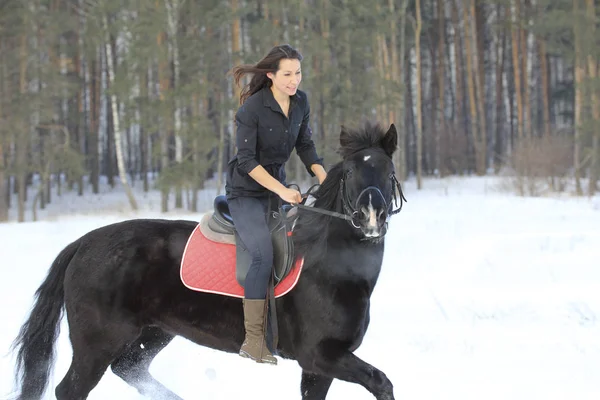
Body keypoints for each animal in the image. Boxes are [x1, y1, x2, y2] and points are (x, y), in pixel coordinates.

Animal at [11, 122, 408, 400]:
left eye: (389, 172)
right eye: (352, 172)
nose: (370, 217)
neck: (329, 268)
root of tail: (83, 243)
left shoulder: (319, 368)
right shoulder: (319, 355)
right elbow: (382, 382)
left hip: (155, 330)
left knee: (130, 368)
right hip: (97, 341)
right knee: (71, 389)